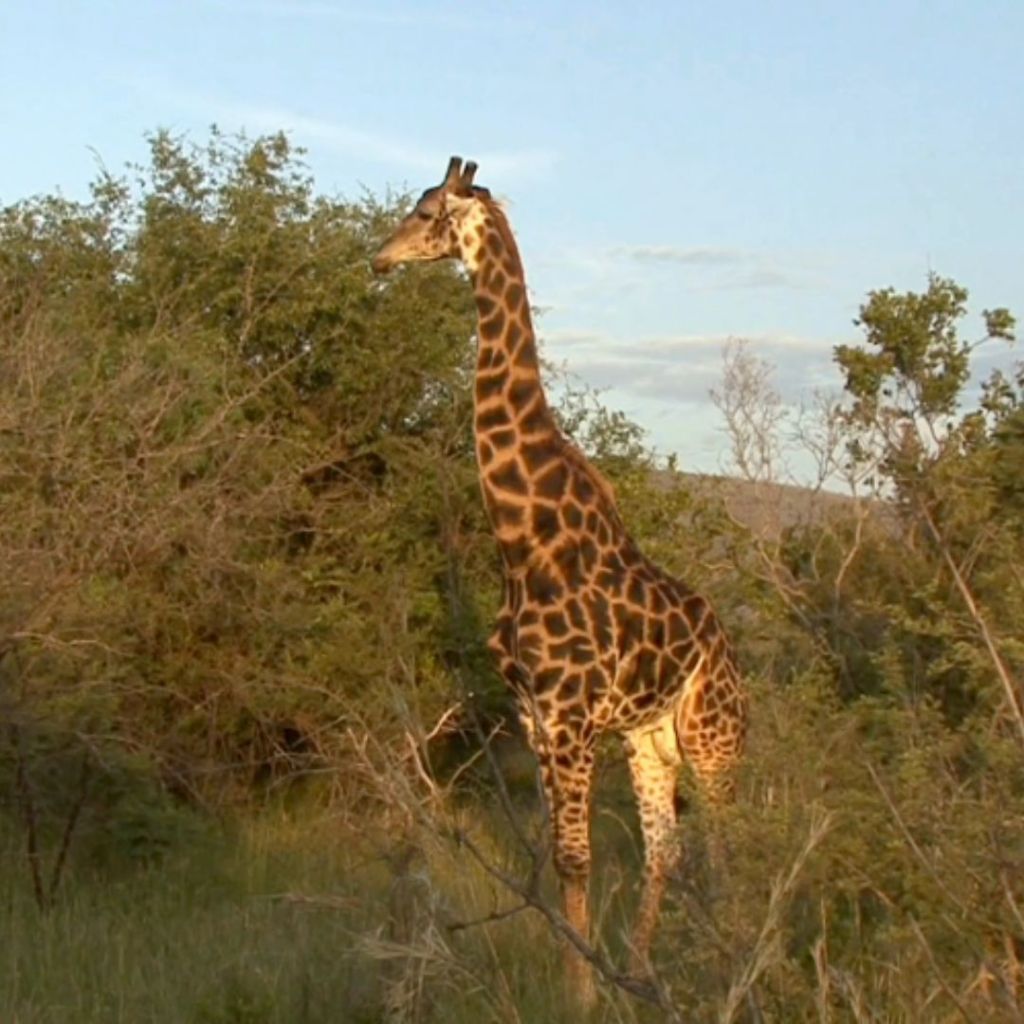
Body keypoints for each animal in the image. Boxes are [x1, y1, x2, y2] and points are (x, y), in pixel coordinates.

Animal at [372, 157, 747, 1005]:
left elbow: (577, 860)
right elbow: (560, 860)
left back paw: (731, 963)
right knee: (670, 849)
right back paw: (645, 970)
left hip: (714, 737)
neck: (524, 541)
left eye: (425, 211)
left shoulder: (572, 717)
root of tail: (731, 654)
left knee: (732, 842)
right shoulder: (536, 718)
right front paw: (584, 983)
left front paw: (583, 997)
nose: (378, 257)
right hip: (650, 737)